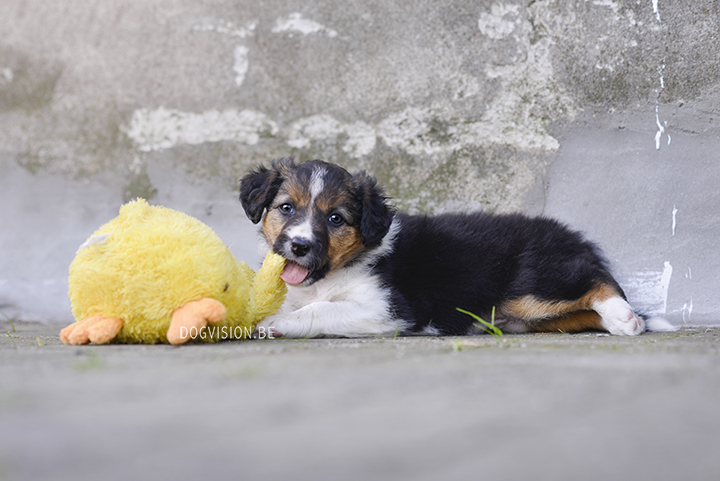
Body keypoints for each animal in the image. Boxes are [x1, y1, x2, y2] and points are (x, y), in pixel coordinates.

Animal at [240, 158, 676, 338]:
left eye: (335, 219)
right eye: (286, 208)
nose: (299, 246)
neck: (326, 276)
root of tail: (570, 235)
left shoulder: (387, 309)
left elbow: (320, 311)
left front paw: (273, 325)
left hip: (533, 286)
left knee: (598, 281)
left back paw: (625, 317)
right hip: (528, 314)